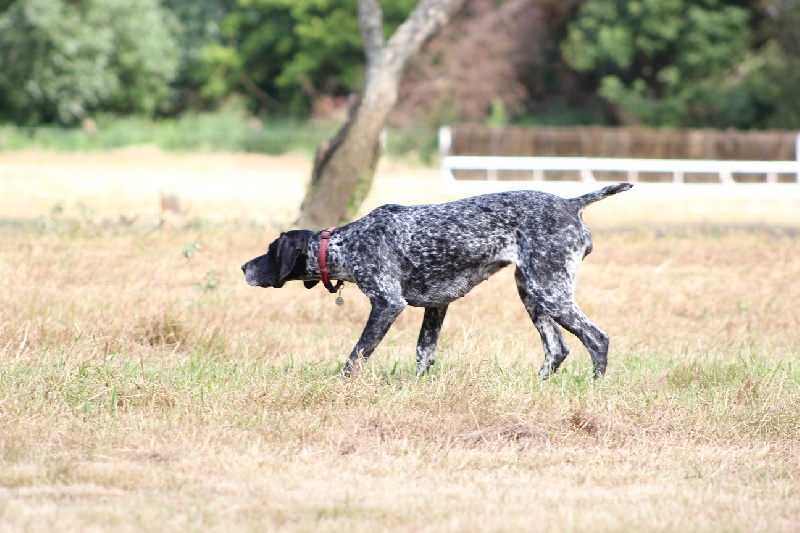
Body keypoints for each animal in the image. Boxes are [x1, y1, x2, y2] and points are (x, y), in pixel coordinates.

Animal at [241, 183, 636, 378]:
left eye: (270, 250)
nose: (244, 267)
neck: (346, 244)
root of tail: (572, 203)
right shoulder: (436, 306)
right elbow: (423, 354)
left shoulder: (387, 304)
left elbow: (357, 355)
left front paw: (339, 386)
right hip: (531, 292)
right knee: (557, 349)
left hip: (550, 292)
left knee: (597, 340)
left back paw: (595, 388)